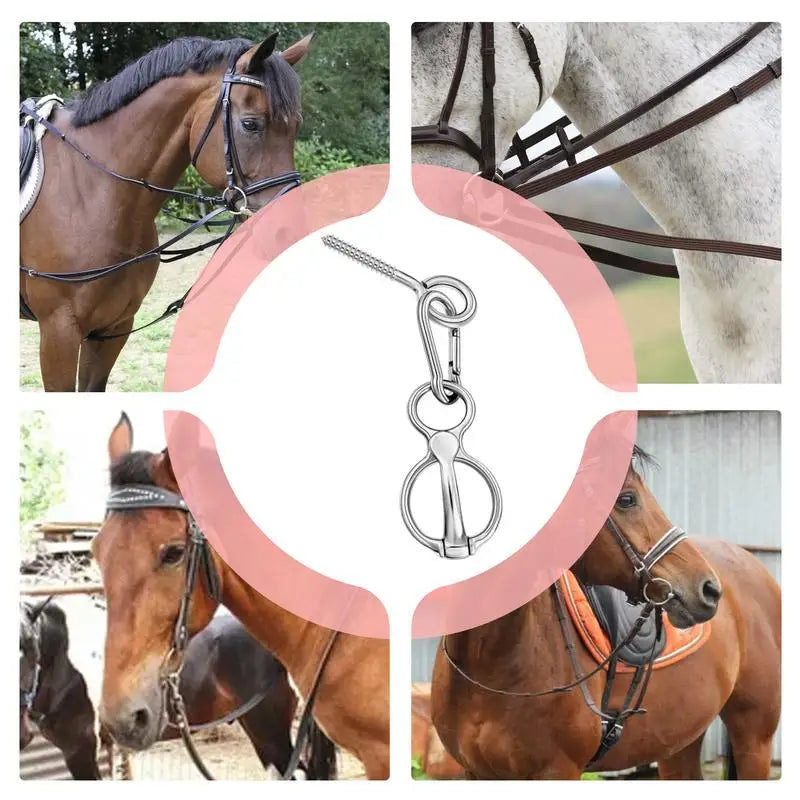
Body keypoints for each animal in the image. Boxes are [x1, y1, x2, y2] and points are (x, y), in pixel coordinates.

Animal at [20, 33, 311, 391]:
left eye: (295, 126)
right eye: (250, 124)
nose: (291, 228)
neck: (93, 191)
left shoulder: (112, 328)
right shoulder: (58, 332)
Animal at [429, 448, 781, 779]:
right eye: (626, 499)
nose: (708, 589)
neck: (489, 662)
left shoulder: (558, 770)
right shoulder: (476, 771)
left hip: (754, 737)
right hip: (680, 741)